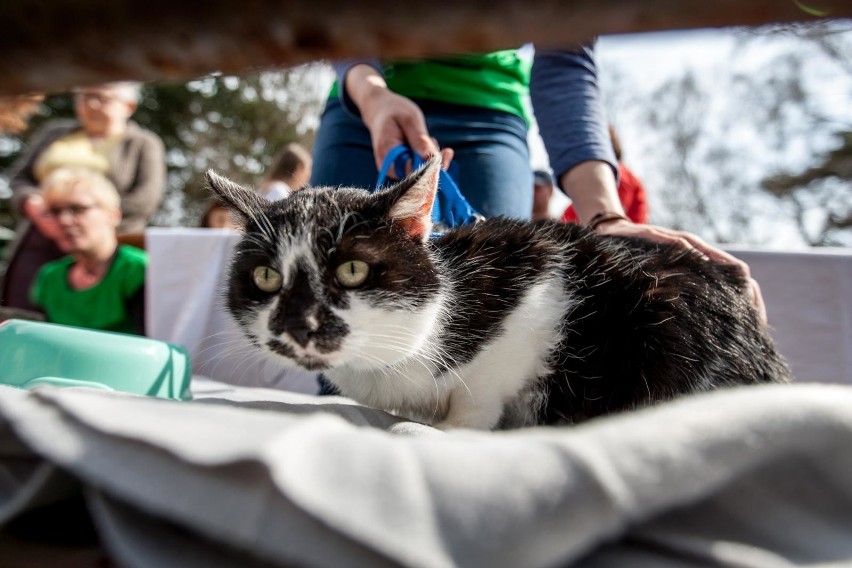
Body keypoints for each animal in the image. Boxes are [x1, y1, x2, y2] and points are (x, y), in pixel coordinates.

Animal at [206, 158, 792, 428]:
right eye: (266, 278)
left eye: (352, 270)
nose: (297, 324)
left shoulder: (537, 282)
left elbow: (484, 386)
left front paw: (451, 427)